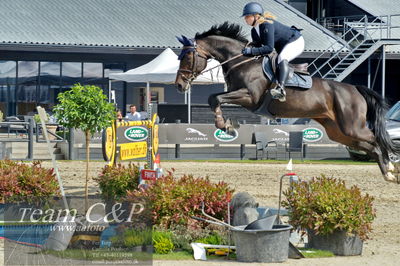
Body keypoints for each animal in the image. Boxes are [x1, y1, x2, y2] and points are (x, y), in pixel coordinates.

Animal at [174, 21, 400, 183]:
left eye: (187, 58)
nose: (179, 85)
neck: (241, 60)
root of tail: (355, 89)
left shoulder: (250, 97)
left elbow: (215, 98)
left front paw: (225, 125)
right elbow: (214, 98)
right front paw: (228, 125)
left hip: (352, 126)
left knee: (377, 139)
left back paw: (390, 168)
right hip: (339, 131)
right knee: (369, 145)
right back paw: (388, 171)